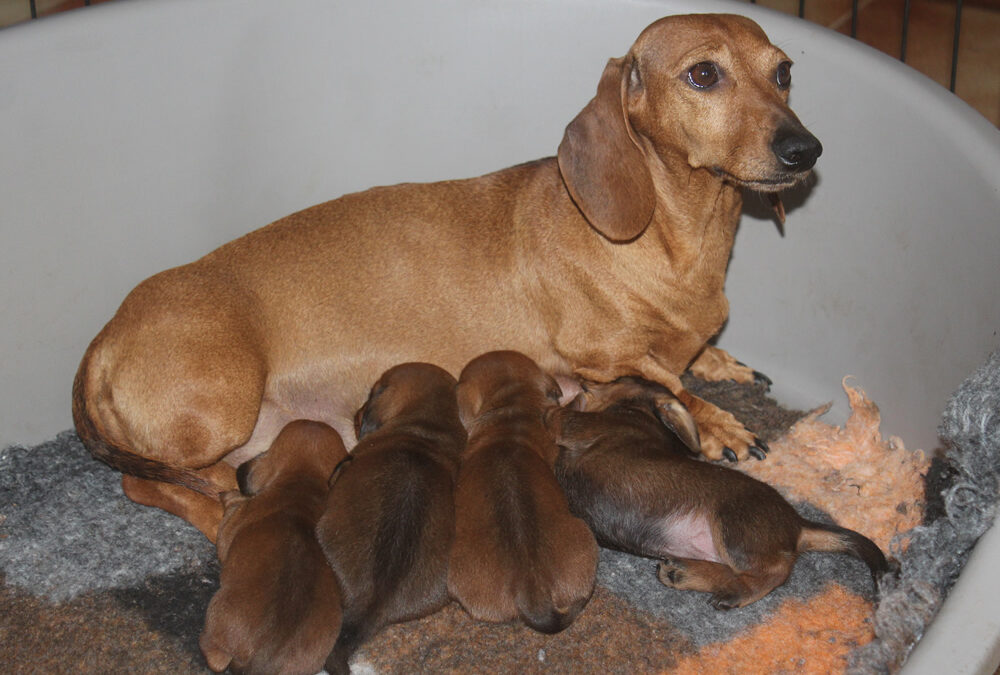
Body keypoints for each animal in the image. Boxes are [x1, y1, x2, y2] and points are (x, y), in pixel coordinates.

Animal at [72, 13, 820, 536]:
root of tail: (104, 338)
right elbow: (666, 376)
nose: (805, 149)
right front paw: (719, 422)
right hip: (220, 408)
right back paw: (223, 510)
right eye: (704, 74)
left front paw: (721, 362)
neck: (678, 235)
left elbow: (689, 354)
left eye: (783, 71)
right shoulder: (596, 353)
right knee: (153, 483)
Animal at [199, 422, 348, 675]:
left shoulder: (230, 528)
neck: (302, 485)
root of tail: (264, 661)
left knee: (216, 659)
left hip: (216, 614)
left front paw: (229, 495)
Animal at [548, 378, 892, 608]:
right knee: (739, 571)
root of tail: (797, 523)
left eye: (616, 379)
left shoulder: (576, 424)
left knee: (776, 571)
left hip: (733, 529)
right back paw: (685, 574)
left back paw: (732, 593)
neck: (639, 414)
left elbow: (560, 412)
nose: (582, 379)